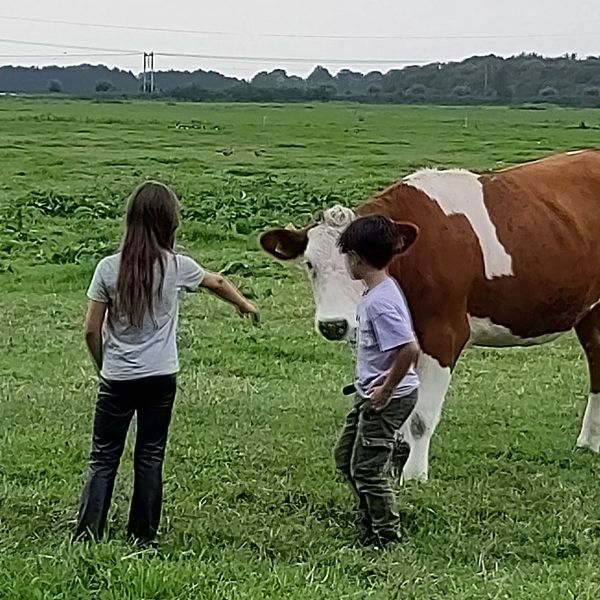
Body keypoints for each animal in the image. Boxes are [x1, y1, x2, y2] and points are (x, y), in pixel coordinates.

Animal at [260, 148, 600, 480]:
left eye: (361, 263)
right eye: (309, 264)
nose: (333, 325)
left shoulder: (444, 334)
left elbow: (420, 417)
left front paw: (414, 475)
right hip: (590, 313)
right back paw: (588, 442)